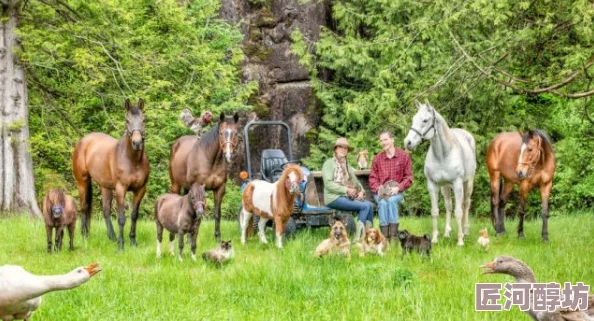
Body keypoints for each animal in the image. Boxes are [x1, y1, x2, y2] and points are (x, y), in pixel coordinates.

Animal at [72, 97, 150, 250]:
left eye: (143, 120)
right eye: (127, 120)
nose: (137, 143)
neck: (133, 161)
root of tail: (83, 141)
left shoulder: (140, 190)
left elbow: (134, 215)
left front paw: (133, 242)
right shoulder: (120, 189)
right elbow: (121, 218)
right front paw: (121, 245)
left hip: (105, 186)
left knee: (106, 210)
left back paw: (111, 237)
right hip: (82, 181)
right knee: (84, 207)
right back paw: (85, 236)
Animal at [166, 112, 238, 240]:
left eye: (235, 133)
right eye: (221, 133)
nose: (228, 155)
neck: (210, 160)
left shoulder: (219, 189)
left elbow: (217, 214)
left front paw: (217, 237)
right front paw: (190, 239)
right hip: (176, 185)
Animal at [400, 100, 474, 245]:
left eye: (425, 120)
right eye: (413, 119)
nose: (408, 142)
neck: (443, 154)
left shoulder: (457, 184)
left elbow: (459, 212)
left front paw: (460, 241)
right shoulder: (432, 185)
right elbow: (435, 211)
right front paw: (434, 239)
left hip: (468, 182)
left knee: (466, 204)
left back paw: (465, 231)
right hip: (445, 186)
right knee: (448, 206)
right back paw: (447, 232)